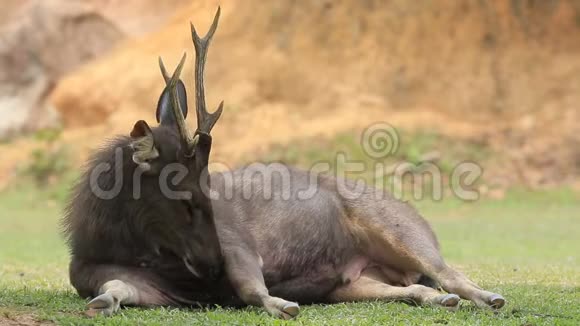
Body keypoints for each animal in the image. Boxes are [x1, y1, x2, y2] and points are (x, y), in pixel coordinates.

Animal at [63, 7, 506, 318]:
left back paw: (490, 298)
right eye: (186, 198)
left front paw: (282, 304)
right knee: (415, 288)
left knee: (449, 272)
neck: (113, 239)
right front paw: (102, 304)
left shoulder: (239, 245)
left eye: (209, 194)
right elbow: (114, 289)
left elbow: (250, 287)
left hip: (402, 230)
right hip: (351, 282)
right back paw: (439, 300)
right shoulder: (117, 278)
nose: (212, 266)